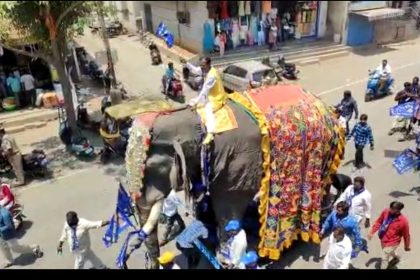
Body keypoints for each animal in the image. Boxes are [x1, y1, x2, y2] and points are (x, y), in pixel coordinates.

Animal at [124, 84, 344, 268]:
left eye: (153, 168)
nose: (150, 263)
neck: (197, 121)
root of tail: (325, 106)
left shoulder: (238, 163)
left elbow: (228, 203)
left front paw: (225, 258)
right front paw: (205, 234)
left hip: (323, 151)